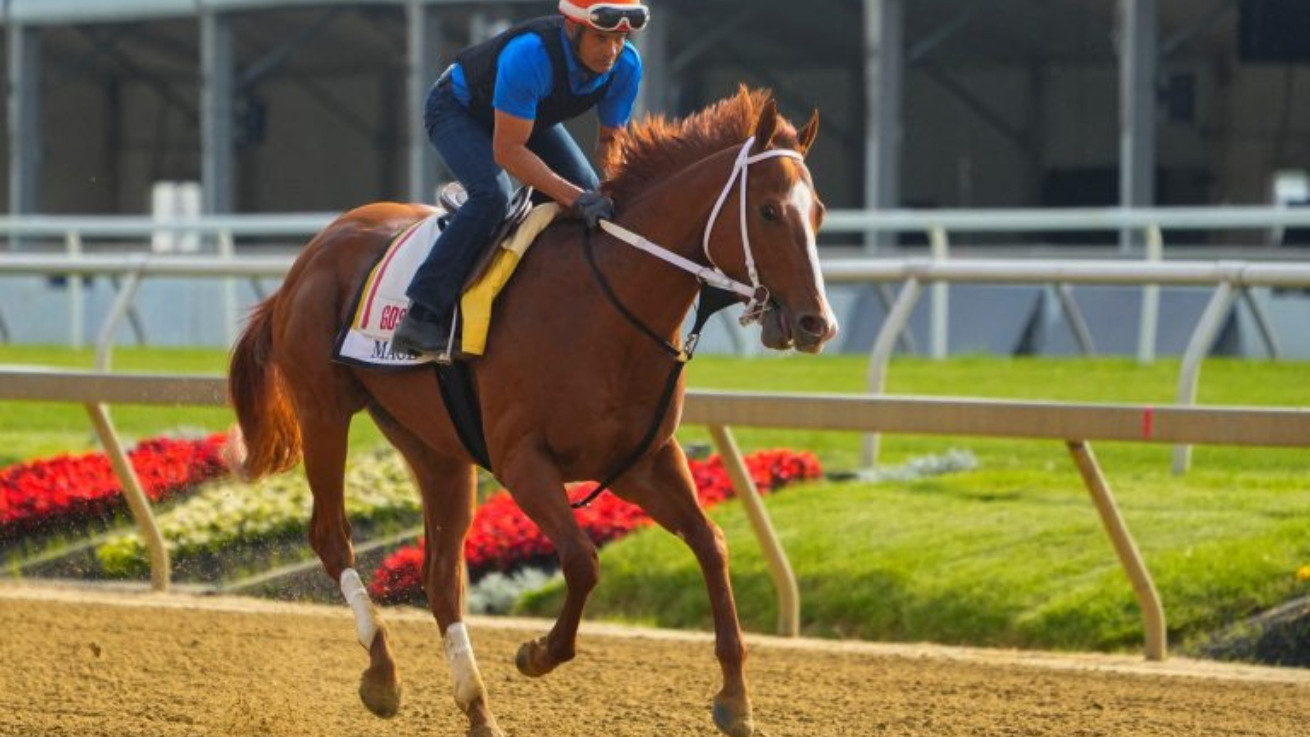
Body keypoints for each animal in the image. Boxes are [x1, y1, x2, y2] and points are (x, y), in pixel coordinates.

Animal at [225, 87, 838, 737]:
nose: (816, 323)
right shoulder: (523, 461)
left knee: (441, 577)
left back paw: (477, 707)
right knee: (331, 536)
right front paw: (537, 652)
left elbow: (712, 543)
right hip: (324, 410)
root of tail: (312, 254)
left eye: (819, 214)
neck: (607, 304)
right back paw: (383, 675)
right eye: (768, 211)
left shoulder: (643, 460)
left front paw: (735, 697)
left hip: (434, 446)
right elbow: (583, 560)